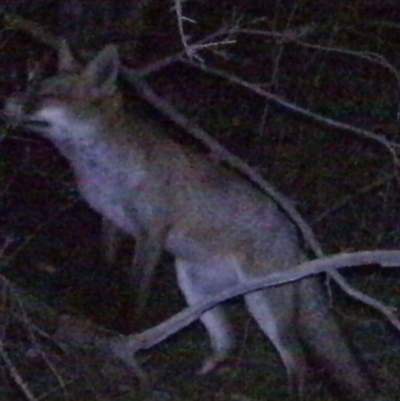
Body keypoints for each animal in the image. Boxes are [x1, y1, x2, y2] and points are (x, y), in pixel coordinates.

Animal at [3, 42, 384, 398]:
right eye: (33, 86)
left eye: (48, 95)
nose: (8, 100)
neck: (104, 171)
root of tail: (297, 237)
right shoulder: (110, 221)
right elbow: (109, 271)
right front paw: (102, 311)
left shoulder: (151, 233)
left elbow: (135, 293)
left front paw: (124, 331)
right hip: (195, 286)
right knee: (227, 342)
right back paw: (201, 378)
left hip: (263, 302)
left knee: (296, 359)